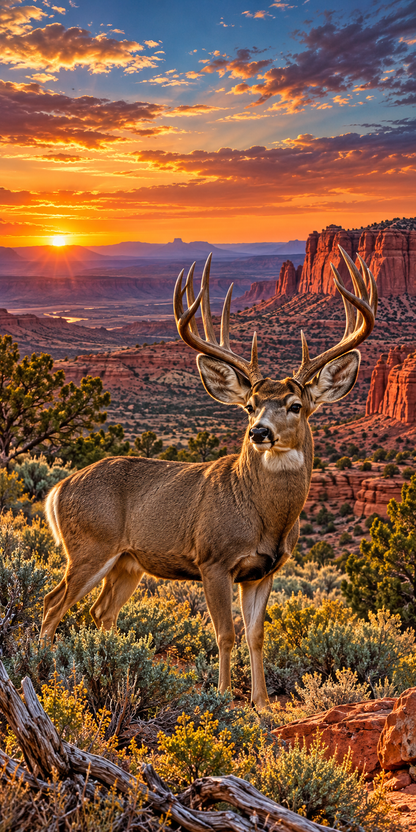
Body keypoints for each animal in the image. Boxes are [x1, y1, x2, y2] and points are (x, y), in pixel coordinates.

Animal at [41, 245, 377, 709]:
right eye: (250, 405)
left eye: (295, 405)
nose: (259, 432)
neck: (264, 518)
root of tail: (57, 490)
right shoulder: (212, 559)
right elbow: (225, 633)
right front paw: (222, 698)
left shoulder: (265, 570)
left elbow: (256, 635)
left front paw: (261, 703)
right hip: (90, 545)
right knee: (52, 603)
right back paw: (41, 666)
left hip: (128, 561)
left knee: (100, 612)